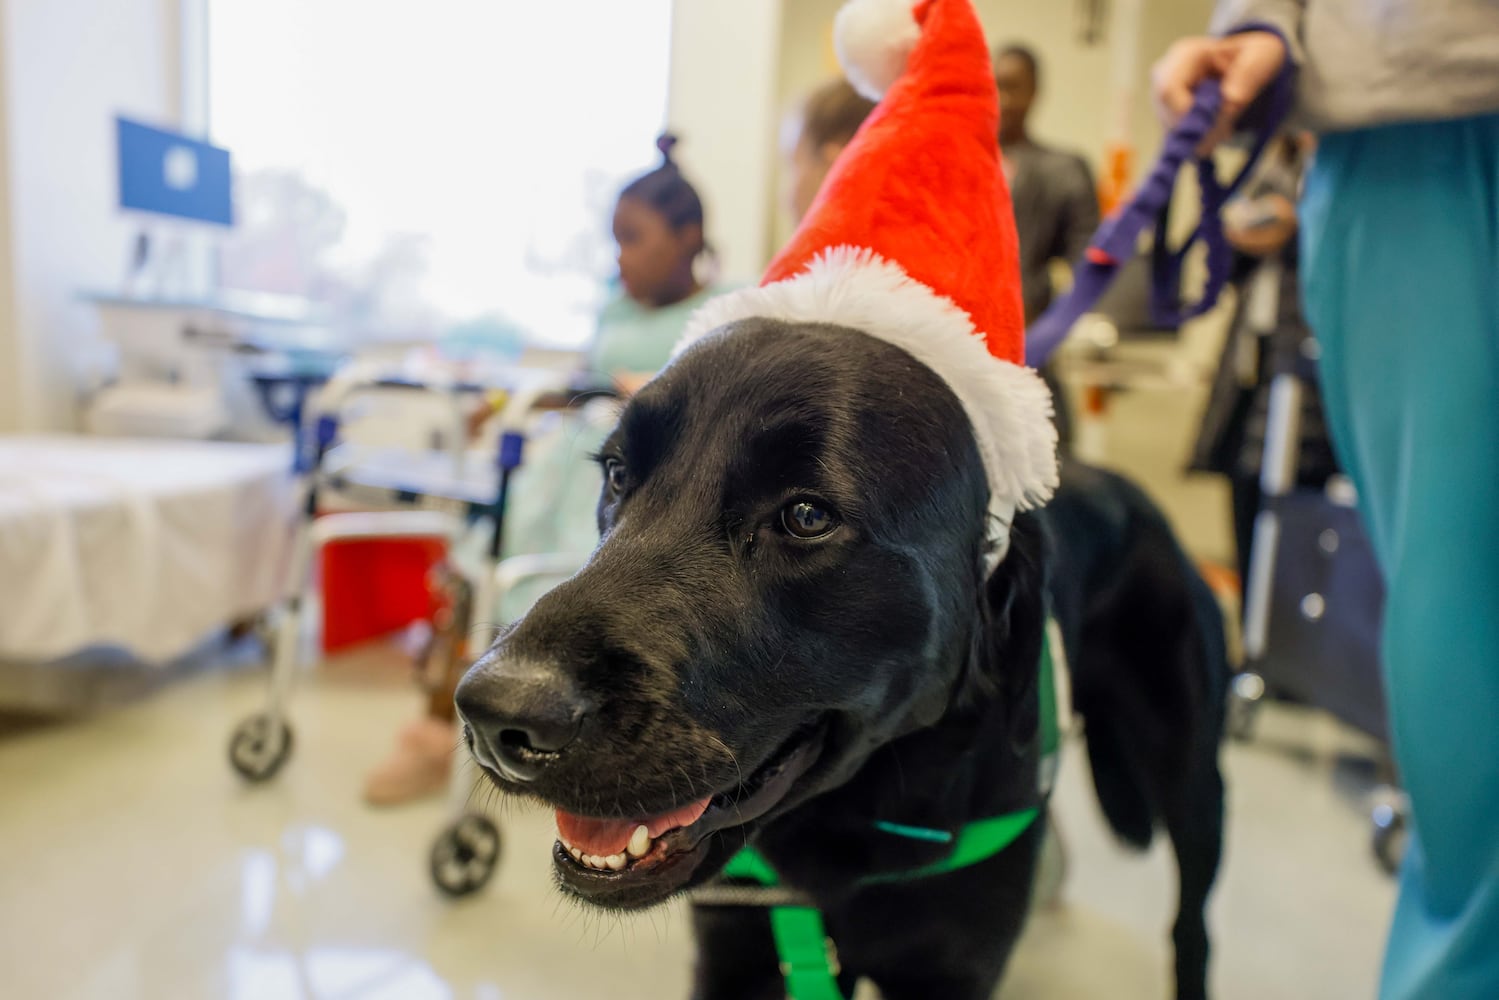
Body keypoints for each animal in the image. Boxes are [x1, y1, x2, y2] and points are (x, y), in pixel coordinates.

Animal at [458, 322, 1229, 1000]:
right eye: (618, 474)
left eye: (806, 517)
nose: (496, 715)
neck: (844, 834)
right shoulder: (741, 956)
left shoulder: (948, 974)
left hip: (1192, 781)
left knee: (1192, 926)